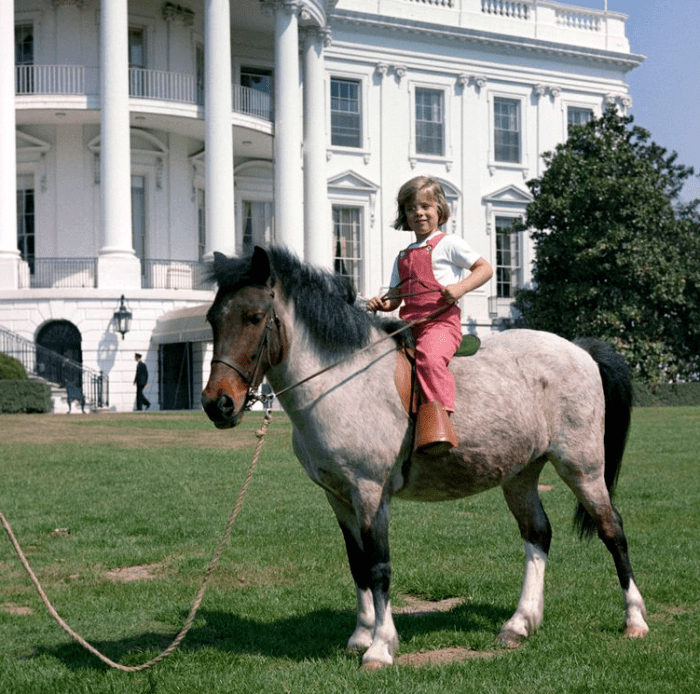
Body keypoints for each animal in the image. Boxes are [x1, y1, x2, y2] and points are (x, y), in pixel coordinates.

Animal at [200, 247, 648, 672]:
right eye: (211, 319)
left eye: (255, 317)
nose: (217, 404)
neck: (341, 379)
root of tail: (580, 350)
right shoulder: (338, 496)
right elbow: (357, 563)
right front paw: (361, 635)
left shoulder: (370, 493)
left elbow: (379, 566)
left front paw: (380, 647)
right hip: (520, 474)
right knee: (538, 534)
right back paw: (519, 624)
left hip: (582, 467)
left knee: (612, 529)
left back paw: (635, 619)